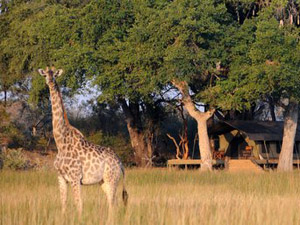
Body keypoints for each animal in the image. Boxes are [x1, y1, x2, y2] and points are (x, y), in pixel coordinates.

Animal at [37, 66, 127, 216]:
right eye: (45, 75)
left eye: (54, 75)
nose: (50, 81)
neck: (60, 142)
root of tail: (120, 163)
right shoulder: (61, 177)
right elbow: (63, 203)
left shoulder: (75, 178)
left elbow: (78, 204)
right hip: (103, 181)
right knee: (113, 202)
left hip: (112, 179)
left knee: (112, 203)